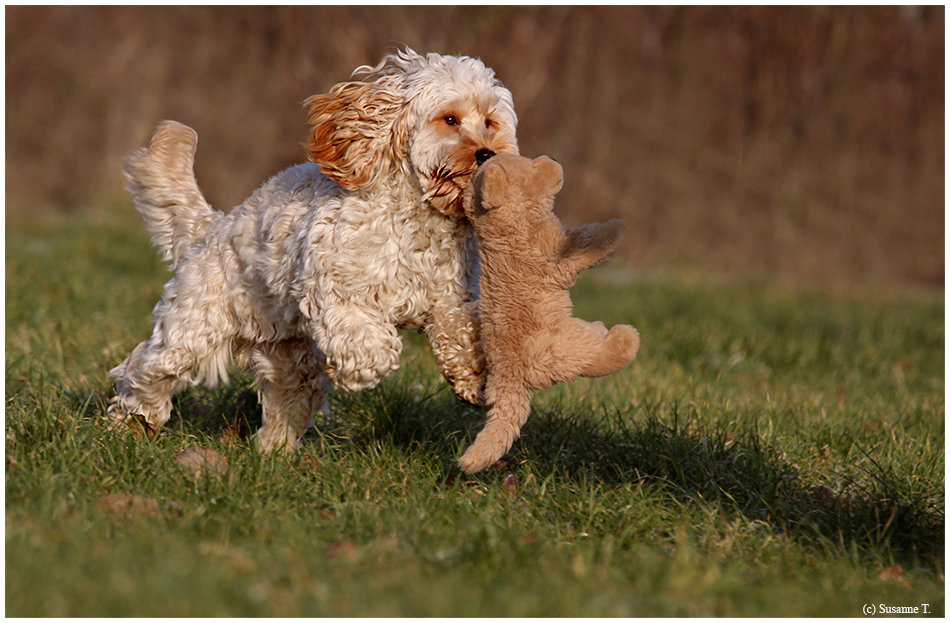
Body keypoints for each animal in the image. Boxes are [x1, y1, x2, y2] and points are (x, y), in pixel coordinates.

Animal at [109, 46, 520, 450]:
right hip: (191, 333)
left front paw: (476, 378)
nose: (487, 153)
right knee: (143, 370)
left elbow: (462, 333)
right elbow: (367, 341)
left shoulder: (451, 297)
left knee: (285, 403)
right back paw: (130, 427)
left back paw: (273, 452)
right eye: (450, 119)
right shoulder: (337, 290)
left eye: (490, 122)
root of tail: (211, 227)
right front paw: (362, 367)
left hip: (289, 359)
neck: (419, 220)